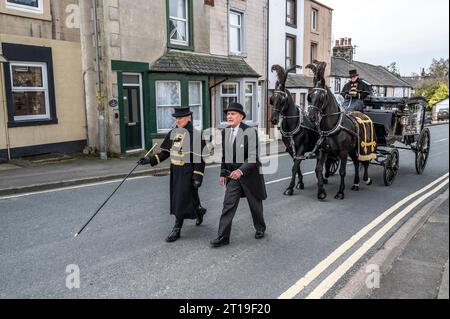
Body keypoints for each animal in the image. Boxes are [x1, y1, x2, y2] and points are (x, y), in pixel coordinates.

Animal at [268, 64, 336, 196]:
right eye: (272, 99)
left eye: (282, 99)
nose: (273, 119)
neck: (293, 124)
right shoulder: (291, 149)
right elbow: (297, 166)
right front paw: (300, 183)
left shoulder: (301, 148)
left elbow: (294, 167)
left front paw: (290, 188)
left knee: (326, 161)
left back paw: (324, 178)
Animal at [306, 61, 372, 201]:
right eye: (310, 96)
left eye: (321, 96)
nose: (311, 117)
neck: (332, 127)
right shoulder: (324, 151)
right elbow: (319, 169)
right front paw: (321, 192)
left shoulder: (343, 152)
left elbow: (342, 171)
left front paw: (340, 192)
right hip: (353, 149)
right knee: (357, 163)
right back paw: (356, 183)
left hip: (363, 147)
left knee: (365, 162)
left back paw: (366, 179)